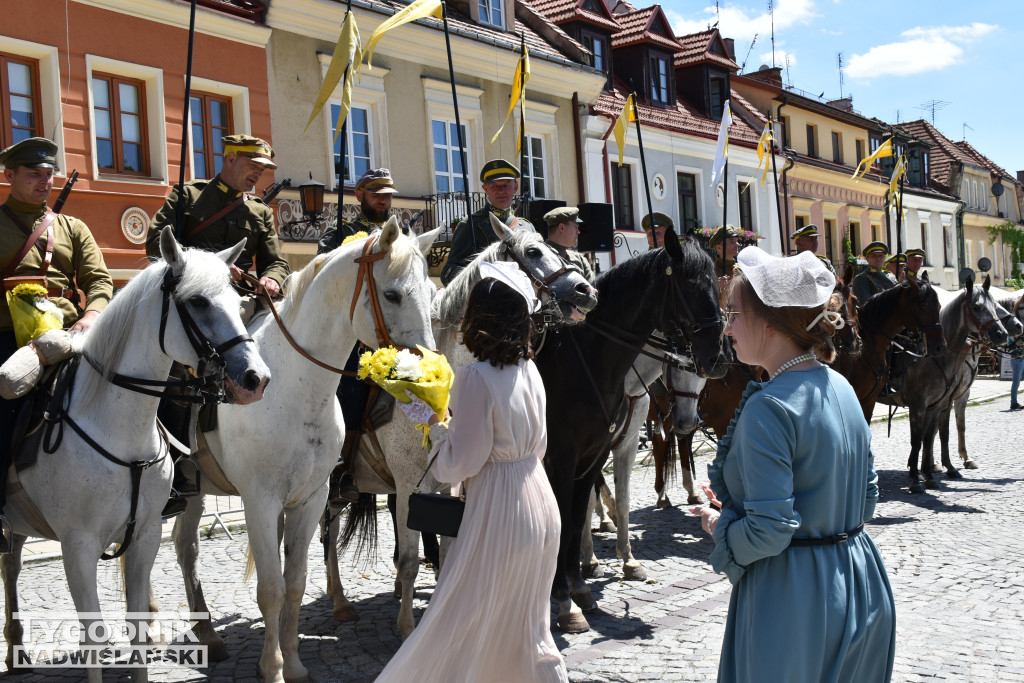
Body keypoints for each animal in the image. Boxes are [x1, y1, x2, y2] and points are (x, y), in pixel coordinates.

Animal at [3, 229, 268, 683]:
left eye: (238, 304)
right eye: (198, 302)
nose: (256, 378)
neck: (118, 426)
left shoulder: (145, 536)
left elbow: (138, 626)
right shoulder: (78, 547)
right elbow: (93, 637)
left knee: (11, 566)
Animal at [168, 220, 440, 683]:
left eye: (430, 289)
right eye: (392, 295)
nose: (428, 374)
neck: (295, 386)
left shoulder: (311, 498)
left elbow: (294, 582)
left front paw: (292, 663)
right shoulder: (260, 501)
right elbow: (271, 589)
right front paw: (272, 666)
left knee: (186, 547)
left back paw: (208, 635)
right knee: (179, 547)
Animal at [327, 216, 598, 638]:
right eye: (534, 251)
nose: (587, 291)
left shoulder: (450, 486)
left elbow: (449, 551)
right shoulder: (409, 486)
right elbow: (409, 561)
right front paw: (407, 627)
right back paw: (339, 602)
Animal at [581, 348, 708, 581]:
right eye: (680, 365)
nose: (688, 422)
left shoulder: (628, 444)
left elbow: (623, 501)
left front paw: (629, 561)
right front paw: (590, 559)